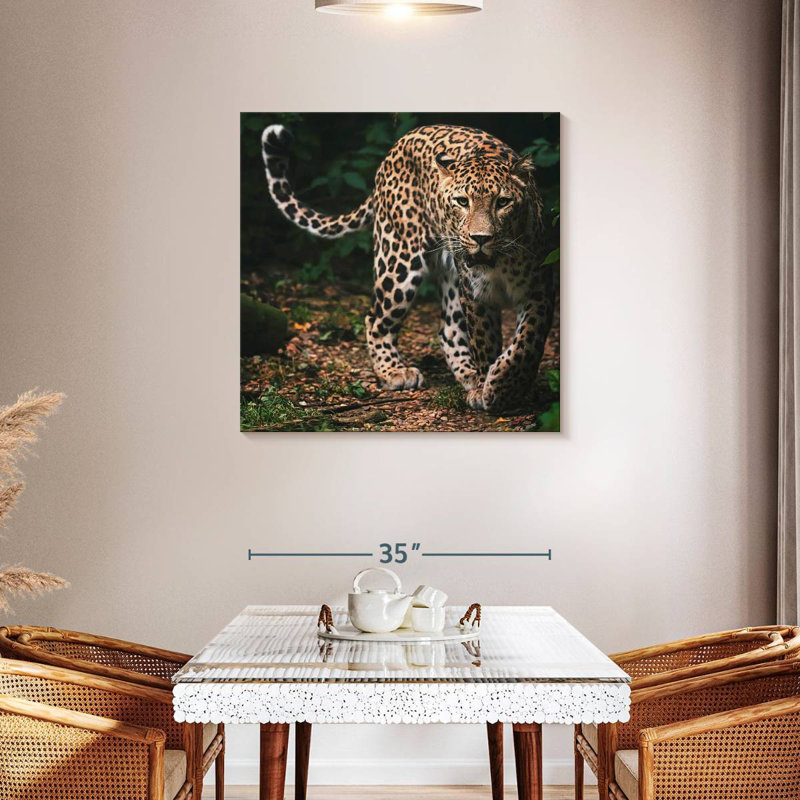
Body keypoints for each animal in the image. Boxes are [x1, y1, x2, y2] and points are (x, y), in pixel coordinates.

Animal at [261, 123, 555, 412]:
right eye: (462, 201)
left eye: (503, 202)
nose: (480, 238)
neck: (499, 262)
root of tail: (398, 145)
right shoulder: (475, 294)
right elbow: (485, 343)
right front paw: (490, 389)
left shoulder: (540, 288)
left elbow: (527, 343)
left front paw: (506, 385)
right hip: (399, 260)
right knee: (375, 318)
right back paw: (395, 372)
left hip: (449, 276)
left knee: (448, 329)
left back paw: (468, 376)